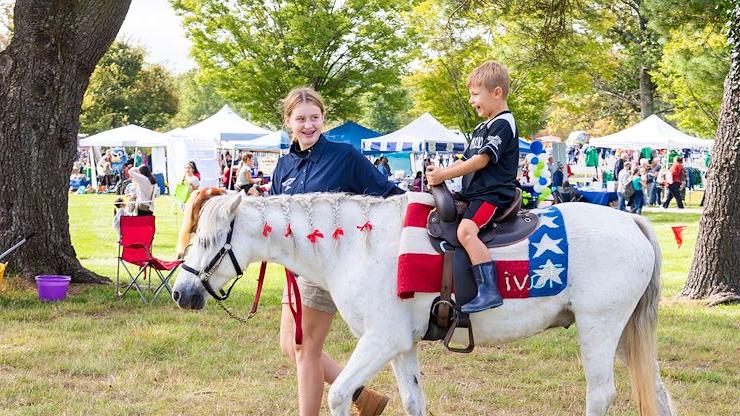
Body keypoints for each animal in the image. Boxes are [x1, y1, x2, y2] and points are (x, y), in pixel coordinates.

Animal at [173, 193, 676, 416]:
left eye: (206, 239)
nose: (181, 292)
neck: (357, 245)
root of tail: (631, 221)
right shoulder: (401, 346)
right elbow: (414, 400)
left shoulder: (380, 341)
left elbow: (338, 393)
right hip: (624, 334)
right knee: (656, 391)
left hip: (599, 330)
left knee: (601, 394)